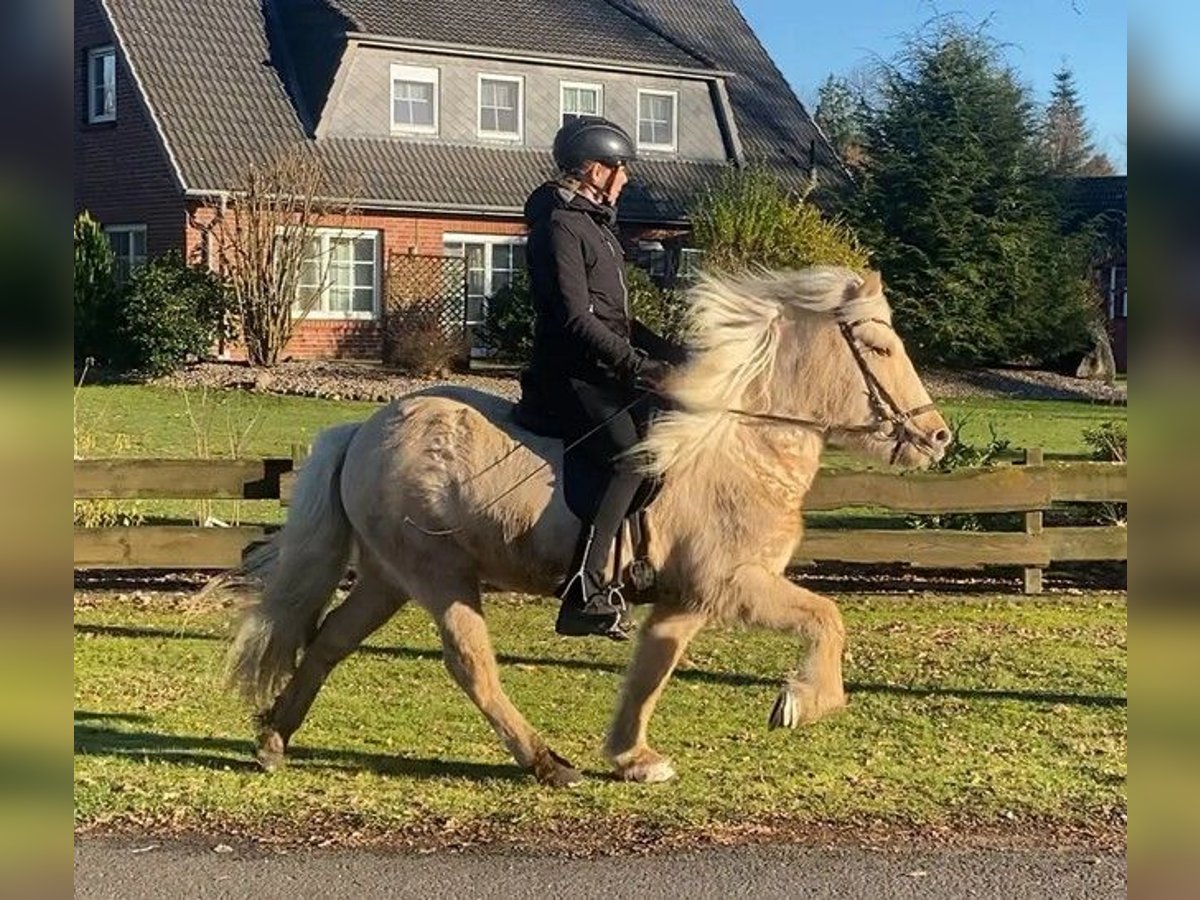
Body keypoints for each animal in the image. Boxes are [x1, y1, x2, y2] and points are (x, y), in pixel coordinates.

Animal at [226, 267, 945, 787]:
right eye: (879, 345)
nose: (938, 437)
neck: (742, 442)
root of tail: (363, 431)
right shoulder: (733, 582)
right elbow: (828, 618)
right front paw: (801, 703)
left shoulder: (688, 597)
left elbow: (653, 669)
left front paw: (633, 757)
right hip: (438, 574)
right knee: (470, 664)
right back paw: (547, 763)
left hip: (388, 576)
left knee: (330, 640)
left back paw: (273, 739)